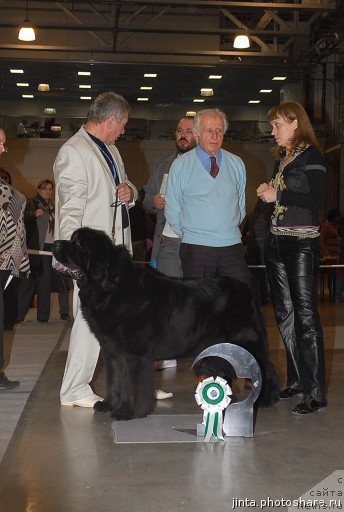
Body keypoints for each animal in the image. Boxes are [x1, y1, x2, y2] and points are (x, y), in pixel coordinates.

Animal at [53, 228, 280, 420]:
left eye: (79, 244)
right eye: (72, 239)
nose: (55, 243)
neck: (111, 288)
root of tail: (246, 289)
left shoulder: (133, 354)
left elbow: (130, 384)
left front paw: (126, 411)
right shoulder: (112, 350)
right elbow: (114, 380)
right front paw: (108, 404)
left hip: (247, 341)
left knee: (266, 369)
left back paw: (265, 399)